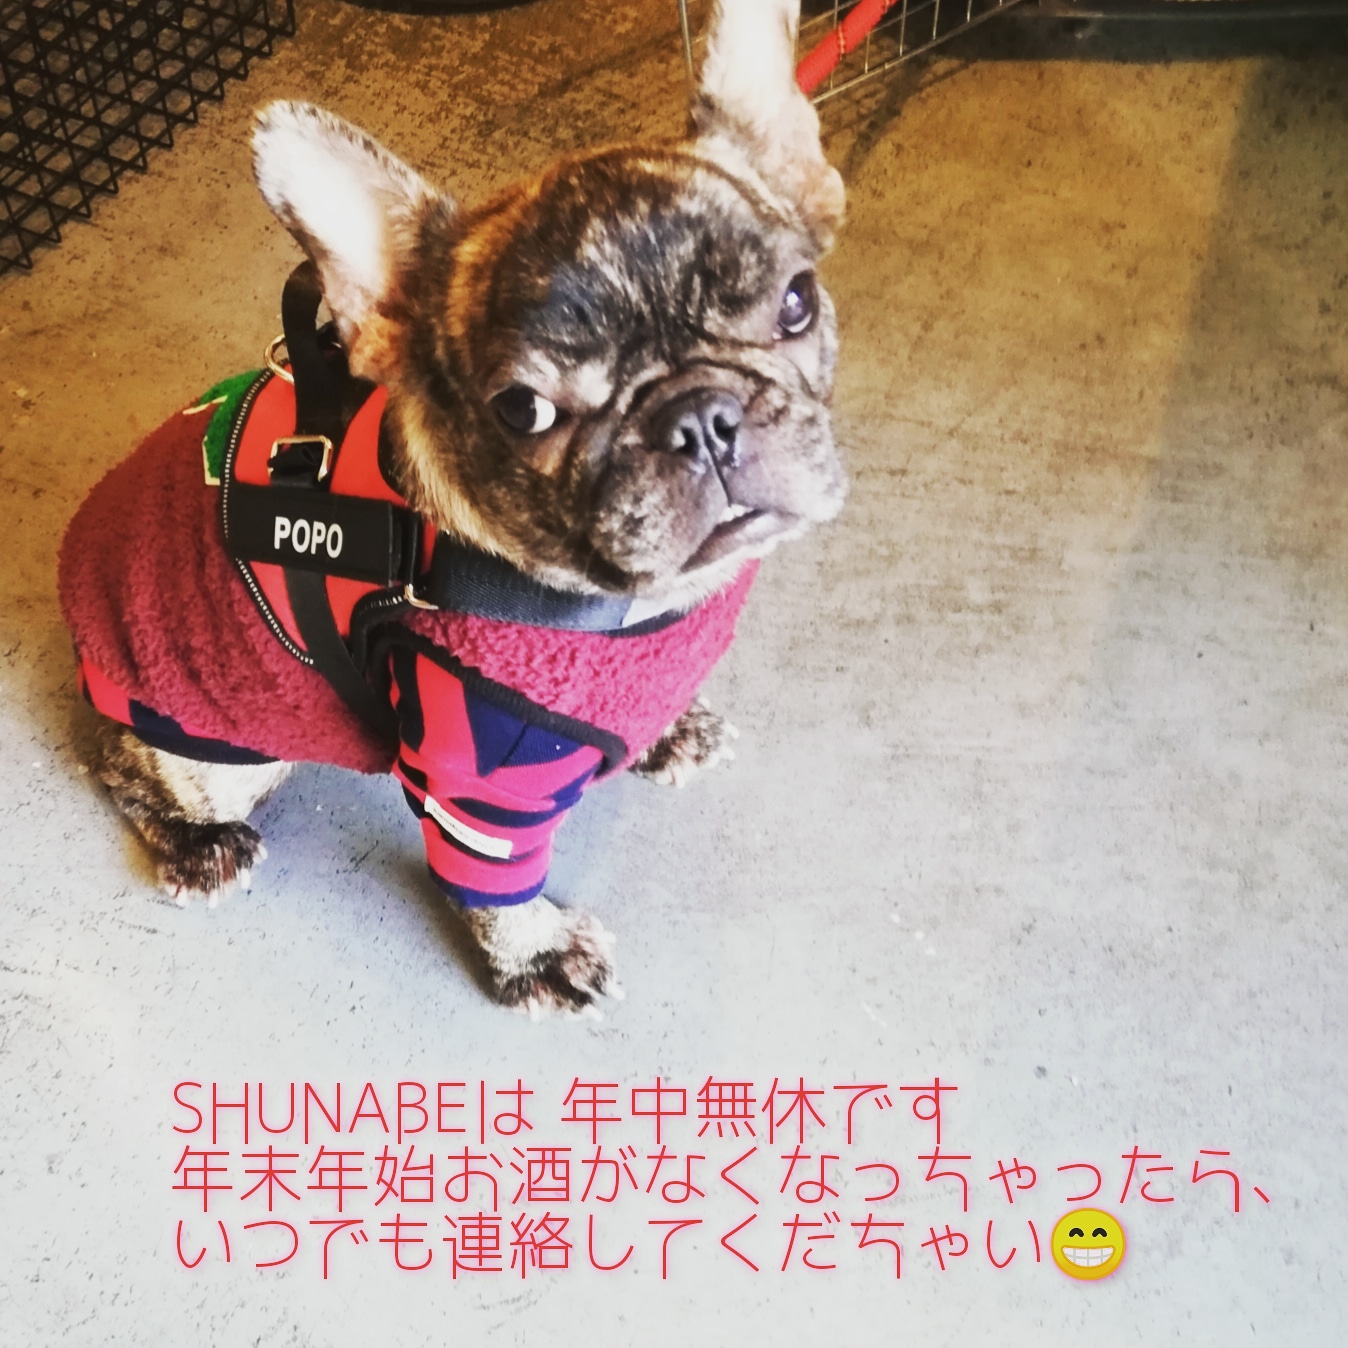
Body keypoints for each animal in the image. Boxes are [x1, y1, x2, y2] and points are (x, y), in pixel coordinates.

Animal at [58, 0, 847, 1014]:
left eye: (797, 302)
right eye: (524, 410)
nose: (700, 418)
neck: (627, 604)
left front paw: (669, 730)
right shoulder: (477, 781)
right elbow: (493, 883)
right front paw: (536, 955)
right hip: (218, 750)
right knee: (119, 764)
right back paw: (198, 845)